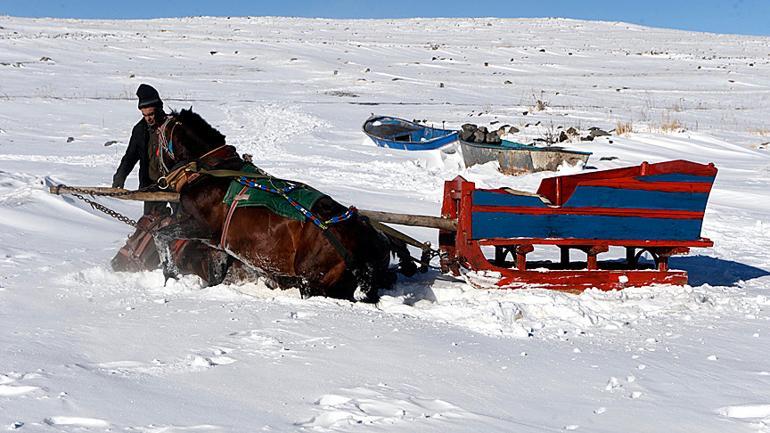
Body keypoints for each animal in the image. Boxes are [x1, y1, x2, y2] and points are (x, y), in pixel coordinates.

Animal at [152, 108, 414, 300]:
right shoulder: (217, 245)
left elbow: (160, 235)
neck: (213, 171)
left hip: (313, 283)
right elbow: (216, 273)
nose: (158, 178)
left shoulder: (199, 225)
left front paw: (169, 273)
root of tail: (371, 237)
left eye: (156, 139)